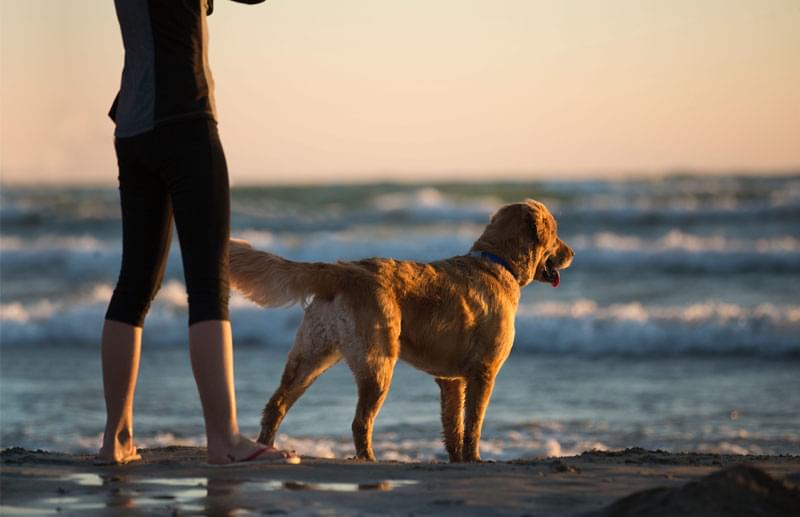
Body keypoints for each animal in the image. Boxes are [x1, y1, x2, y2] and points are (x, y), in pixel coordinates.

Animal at [228, 200, 572, 462]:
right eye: (556, 233)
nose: (572, 254)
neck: (498, 263)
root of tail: (343, 270)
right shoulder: (483, 372)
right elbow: (473, 422)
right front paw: (474, 458)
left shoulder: (451, 380)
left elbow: (453, 425)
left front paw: (457, 459)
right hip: (378, 363)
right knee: (360, 422)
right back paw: (368, 459)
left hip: (311, 356)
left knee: (276, 405)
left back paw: (266, 447)